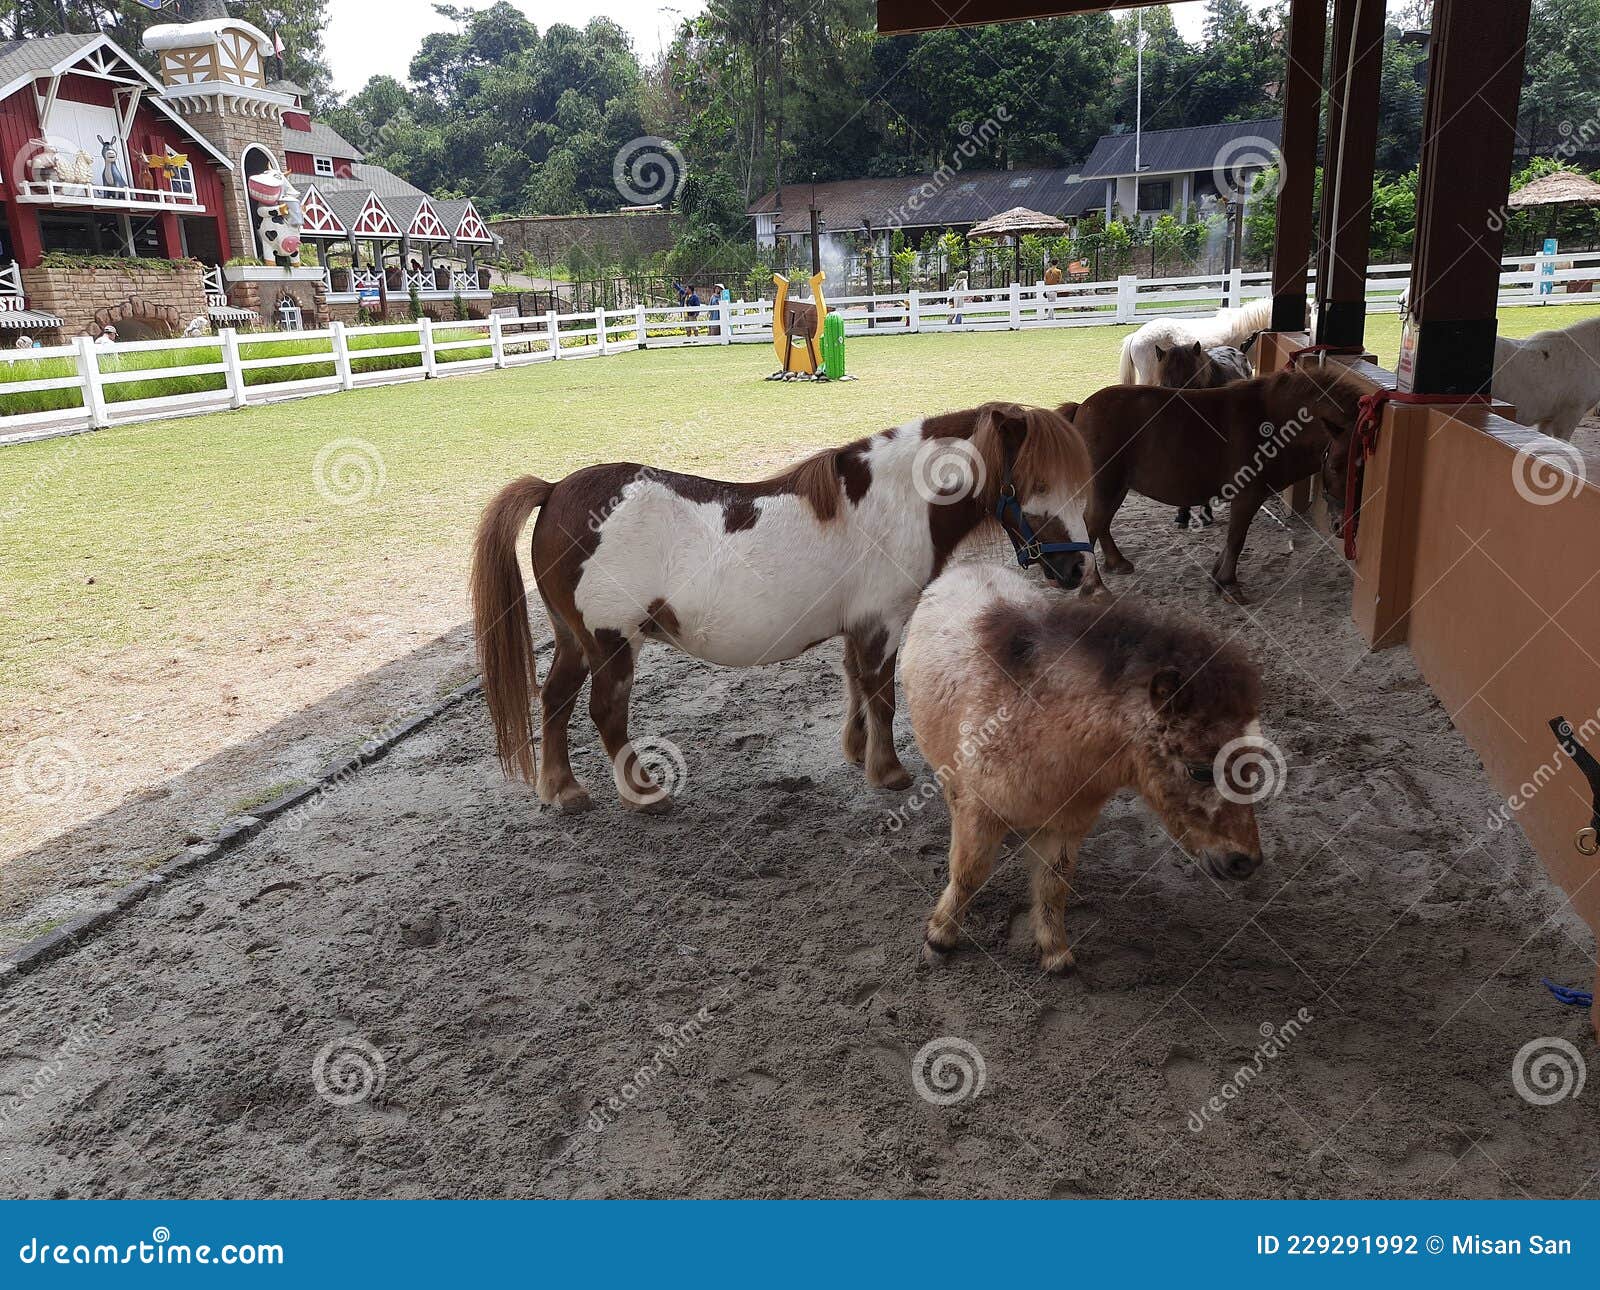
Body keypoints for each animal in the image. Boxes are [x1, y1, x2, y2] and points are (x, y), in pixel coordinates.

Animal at [470, 403, 1100, 813]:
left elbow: (856, 686)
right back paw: (644, 793)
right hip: (612, 641)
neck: (898, 499)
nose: (1077, 569)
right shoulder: (885, 623)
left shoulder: (859, 626)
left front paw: (858, 754)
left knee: (554, 701)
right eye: (1036, 481)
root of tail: (555, 490)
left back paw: (564, 791)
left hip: (575, 640)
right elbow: (882, 695)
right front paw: (889, 772)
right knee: (605, 713)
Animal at [908, 569, 1267, 973]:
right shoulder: (979, 814)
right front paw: (939, 938)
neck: (1035, 727)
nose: (1244, 862)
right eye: (1200, 771)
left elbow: (1053, 883)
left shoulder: (1067, 826)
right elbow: (968, 873)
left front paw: (1055, 952)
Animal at [1075, 366, 1363, 604]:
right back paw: (1094, 587)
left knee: (1101, 523)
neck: (1271, 421)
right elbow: (1236, 538)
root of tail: (1081, 409)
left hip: (1116, 488)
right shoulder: (1248, 497)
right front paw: (1229, 584)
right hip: (1106, 486)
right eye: (1335, 466)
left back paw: (1116, 562)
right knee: (1091, 526)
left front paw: (1218, 577)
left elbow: (1232, 539)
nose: (1342, 525)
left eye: (1363, 469)